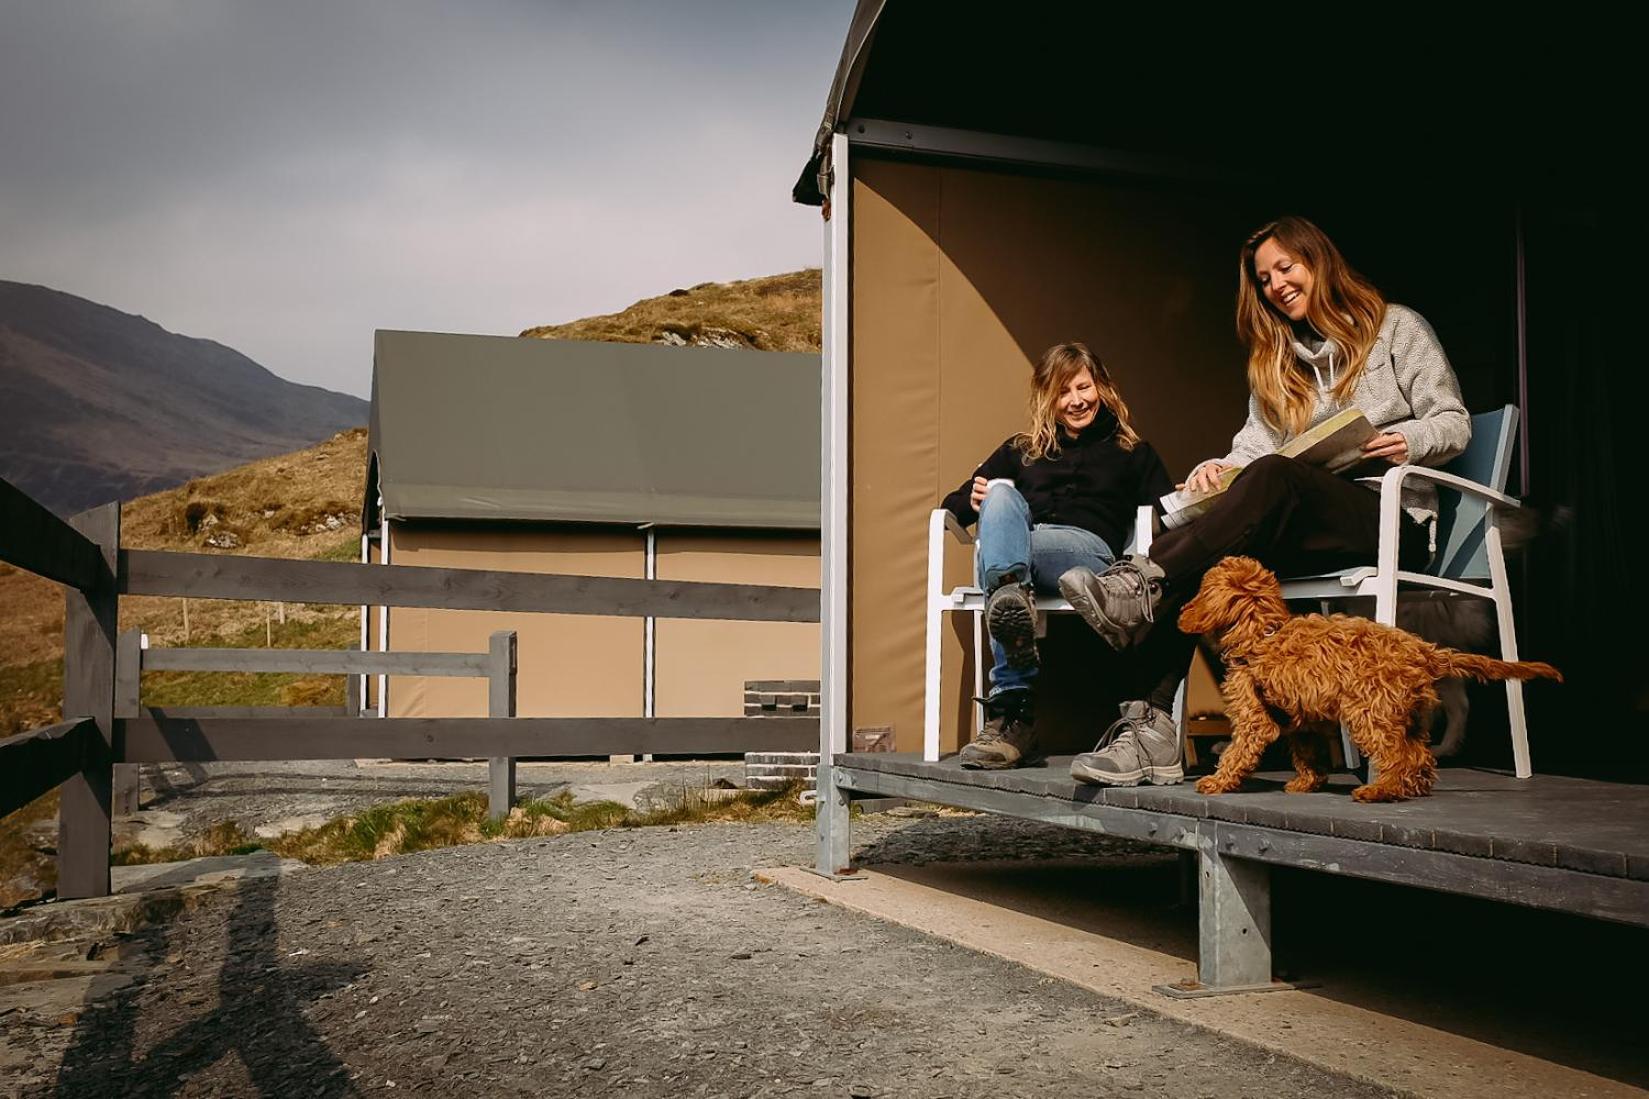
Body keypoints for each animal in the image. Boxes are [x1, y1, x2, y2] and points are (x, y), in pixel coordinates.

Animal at [1187, 557, 1556, 795]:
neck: (1262, 633)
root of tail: (1421, 649)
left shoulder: (1255, 718)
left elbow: (1238, 752)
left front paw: (1217, 782)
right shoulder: (1300, 719)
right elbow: (1307, 754)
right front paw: (1307, 782)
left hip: (1369, 711)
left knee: (1395, 754)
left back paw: (1379, 790)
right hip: (1407, 714)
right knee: (1418, 757)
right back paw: (1410, 787)